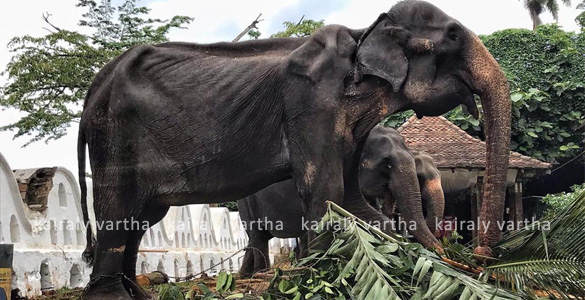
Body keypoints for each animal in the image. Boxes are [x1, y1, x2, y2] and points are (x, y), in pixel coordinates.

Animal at [236, 124, 442, 276]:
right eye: (387, 164)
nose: (442, 252)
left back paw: (246, 275)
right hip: (246, 203)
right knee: (258, 236)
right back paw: (261, 274)